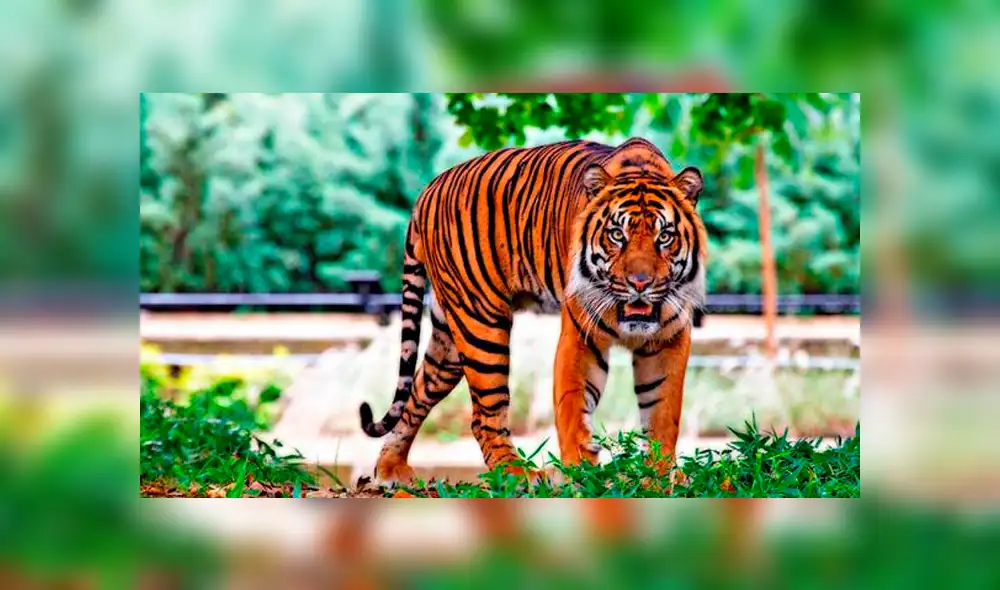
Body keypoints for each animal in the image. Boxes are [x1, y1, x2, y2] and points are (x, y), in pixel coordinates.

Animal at [359, 137, 707, 486]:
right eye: (617, 235)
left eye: (664, 237)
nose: (640, 283)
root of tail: (428, 189)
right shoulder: (580, 338)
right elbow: (573, 408)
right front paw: (582, 474)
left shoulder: (669, 341)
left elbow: (663, 414)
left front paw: (659, 476)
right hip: (481, 325)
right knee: (484, 415)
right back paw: (517, 473)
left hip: (449, 342)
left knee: (418, 392)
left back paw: (391, 469)